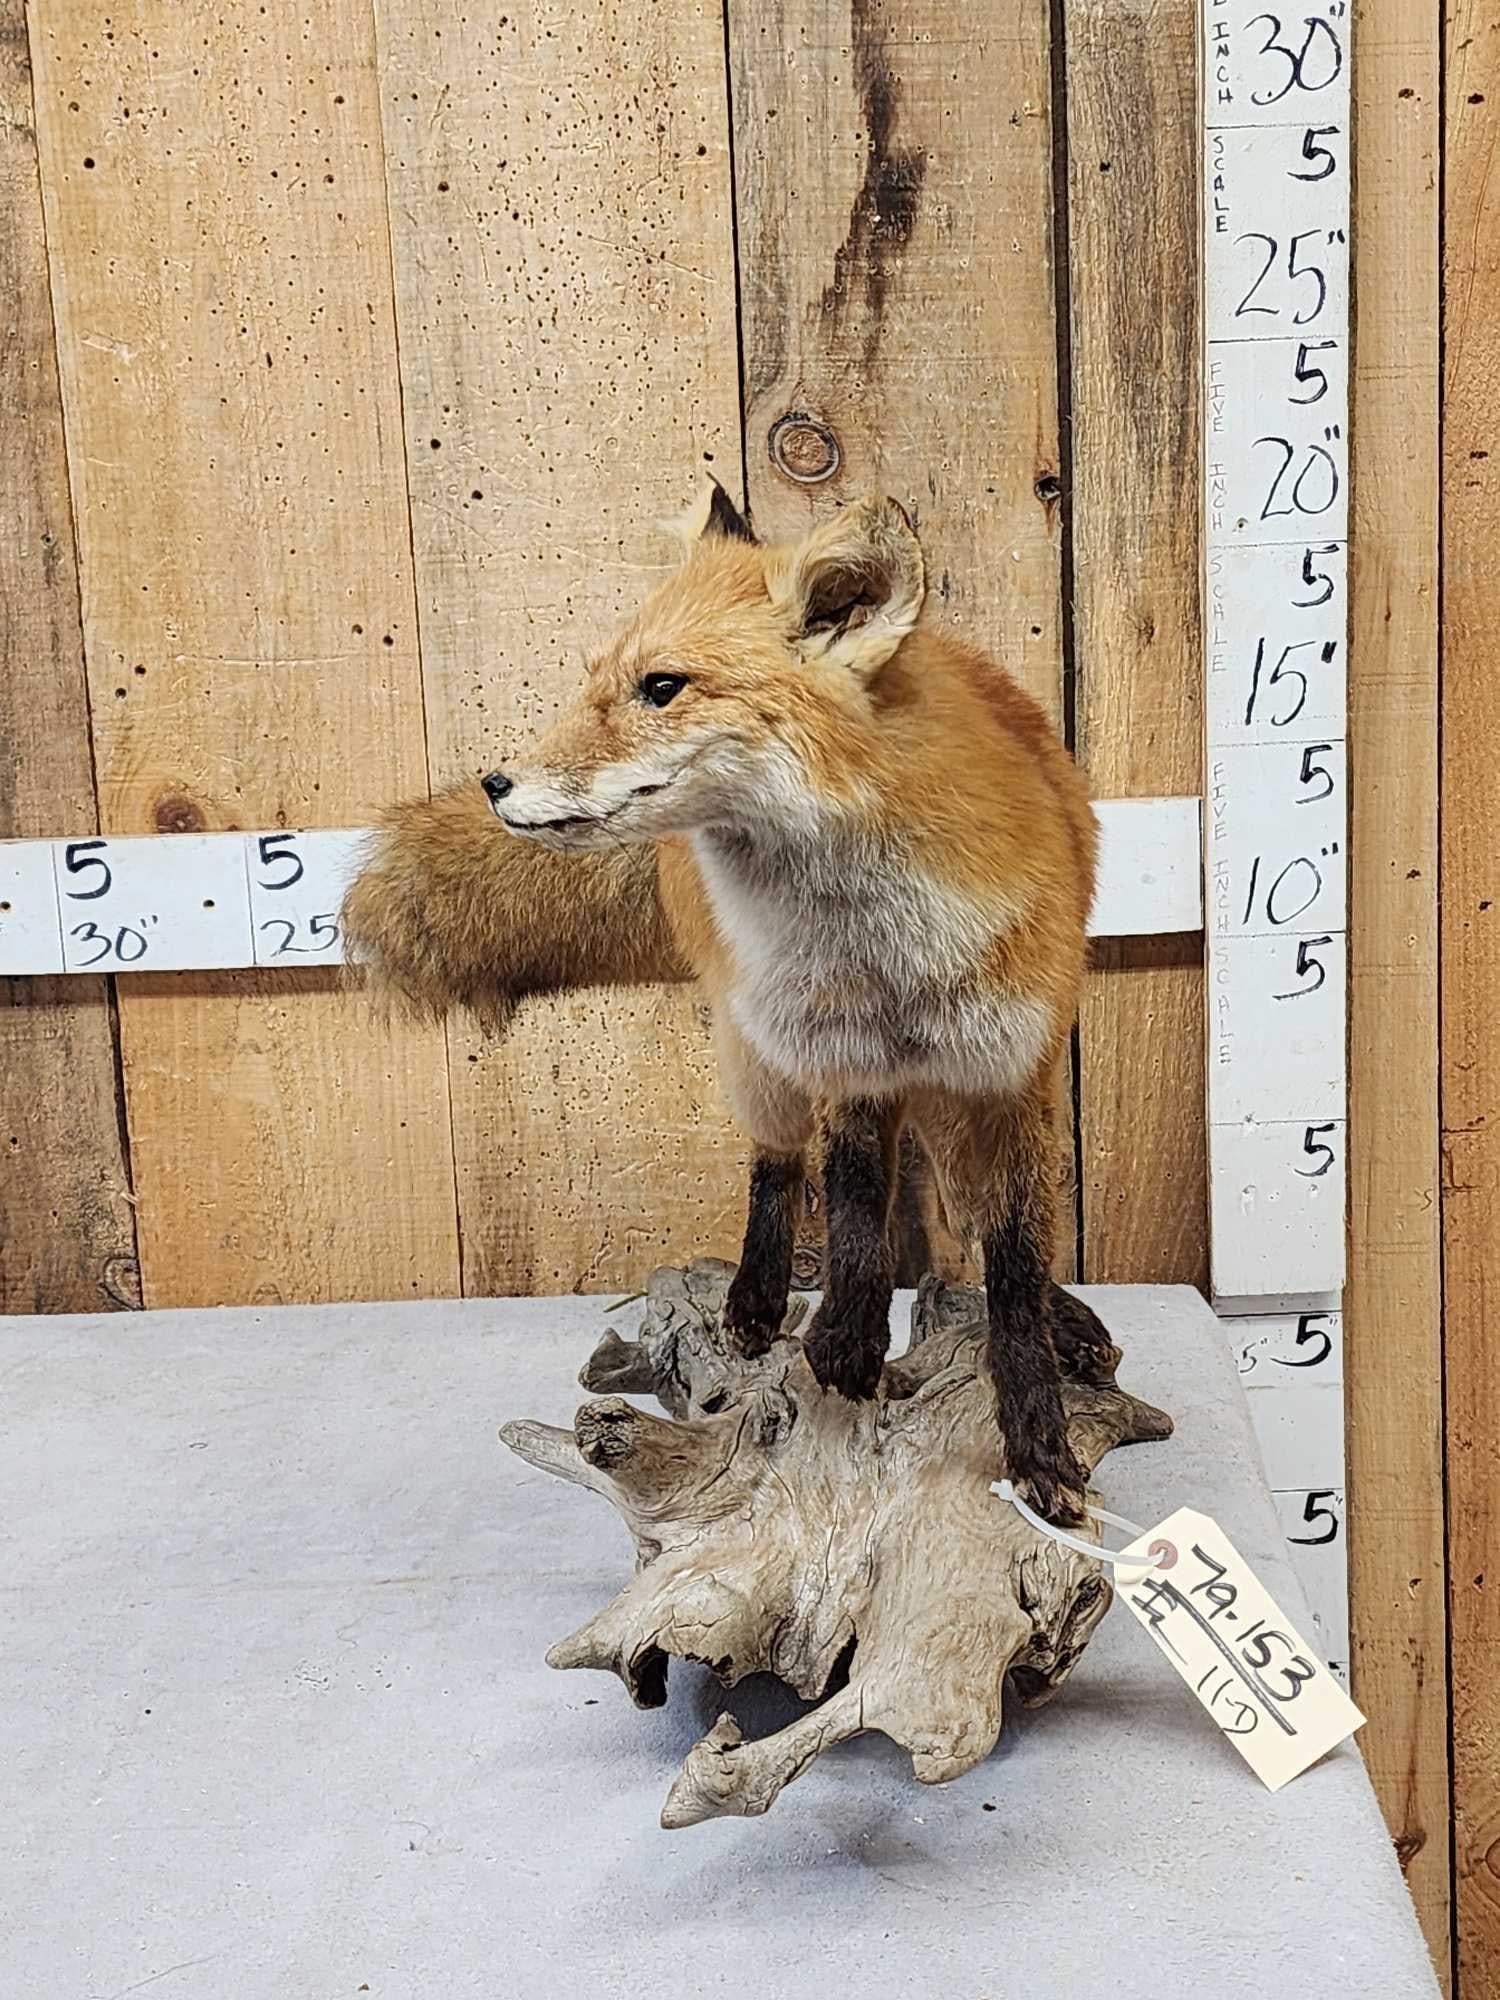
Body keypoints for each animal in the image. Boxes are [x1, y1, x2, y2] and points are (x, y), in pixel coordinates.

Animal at [342, 481, 1122, 1522]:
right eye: (597, 680)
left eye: (661, 687)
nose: (497, 782)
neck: (885, 959)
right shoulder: (840, 1057)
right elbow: (854, 1206)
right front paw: (846, 1341)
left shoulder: (1013, 1071)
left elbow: (1018, 1264)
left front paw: (1041, 1442)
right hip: (759, 1053)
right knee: (777, 1164)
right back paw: (755, 1302)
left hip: (950, 1098)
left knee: (966, 1216)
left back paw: (1063, 1321)